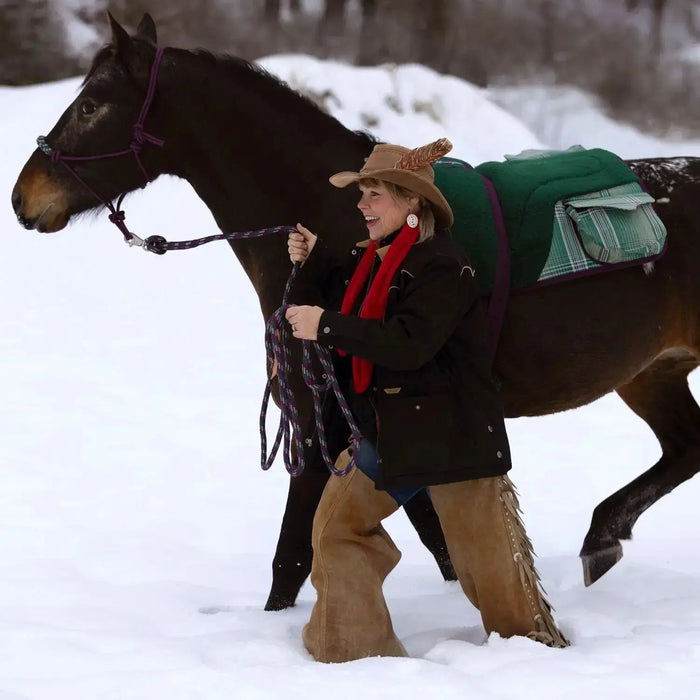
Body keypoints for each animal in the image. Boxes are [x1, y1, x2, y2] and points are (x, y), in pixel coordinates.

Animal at [12, 14, 700, 611]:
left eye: (92, 106)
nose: (23, 198)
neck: (341, 224)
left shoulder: (327, 423)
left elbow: (294, 552)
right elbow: (433, 536)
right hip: (651, 373)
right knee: (684, 451)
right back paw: (602, 538)